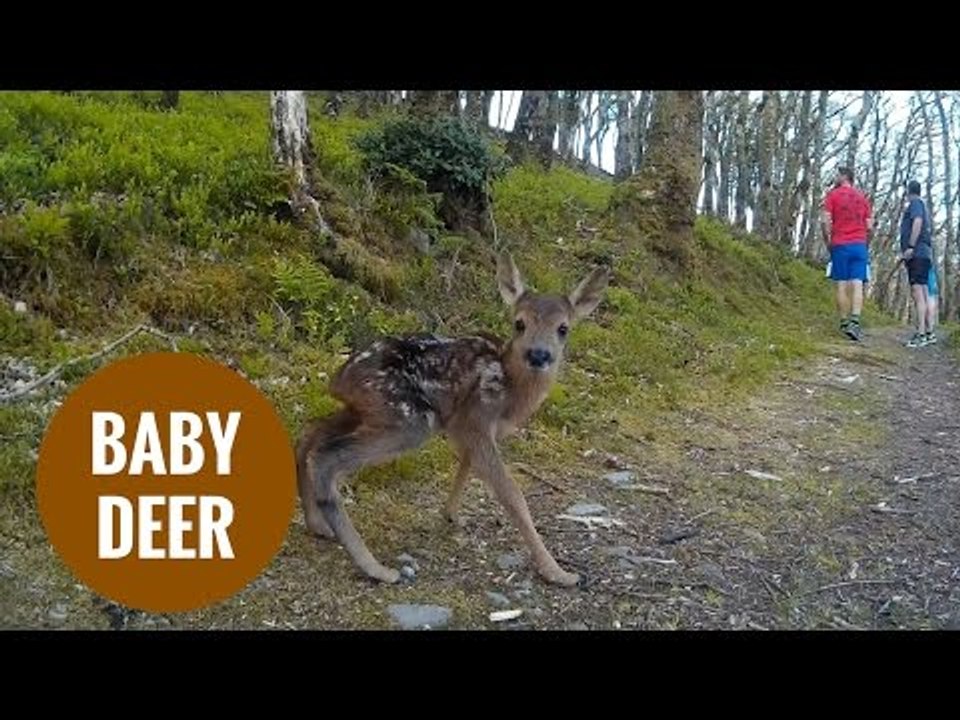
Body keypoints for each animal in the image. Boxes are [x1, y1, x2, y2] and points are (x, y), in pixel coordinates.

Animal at [295, 253, 610, 587]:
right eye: (520, 323)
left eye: (563, 328)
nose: (539, 355)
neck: (511, 393)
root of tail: (339, 379)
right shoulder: (476, 418)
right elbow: (511, 493)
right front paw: (557, 571)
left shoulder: (472, 429)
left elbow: (466, 465)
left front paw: (451, 515)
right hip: (409, 419)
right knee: (327, 456)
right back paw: (376, 568)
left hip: (367, 411)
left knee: (309, 434)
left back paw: (318, 525)